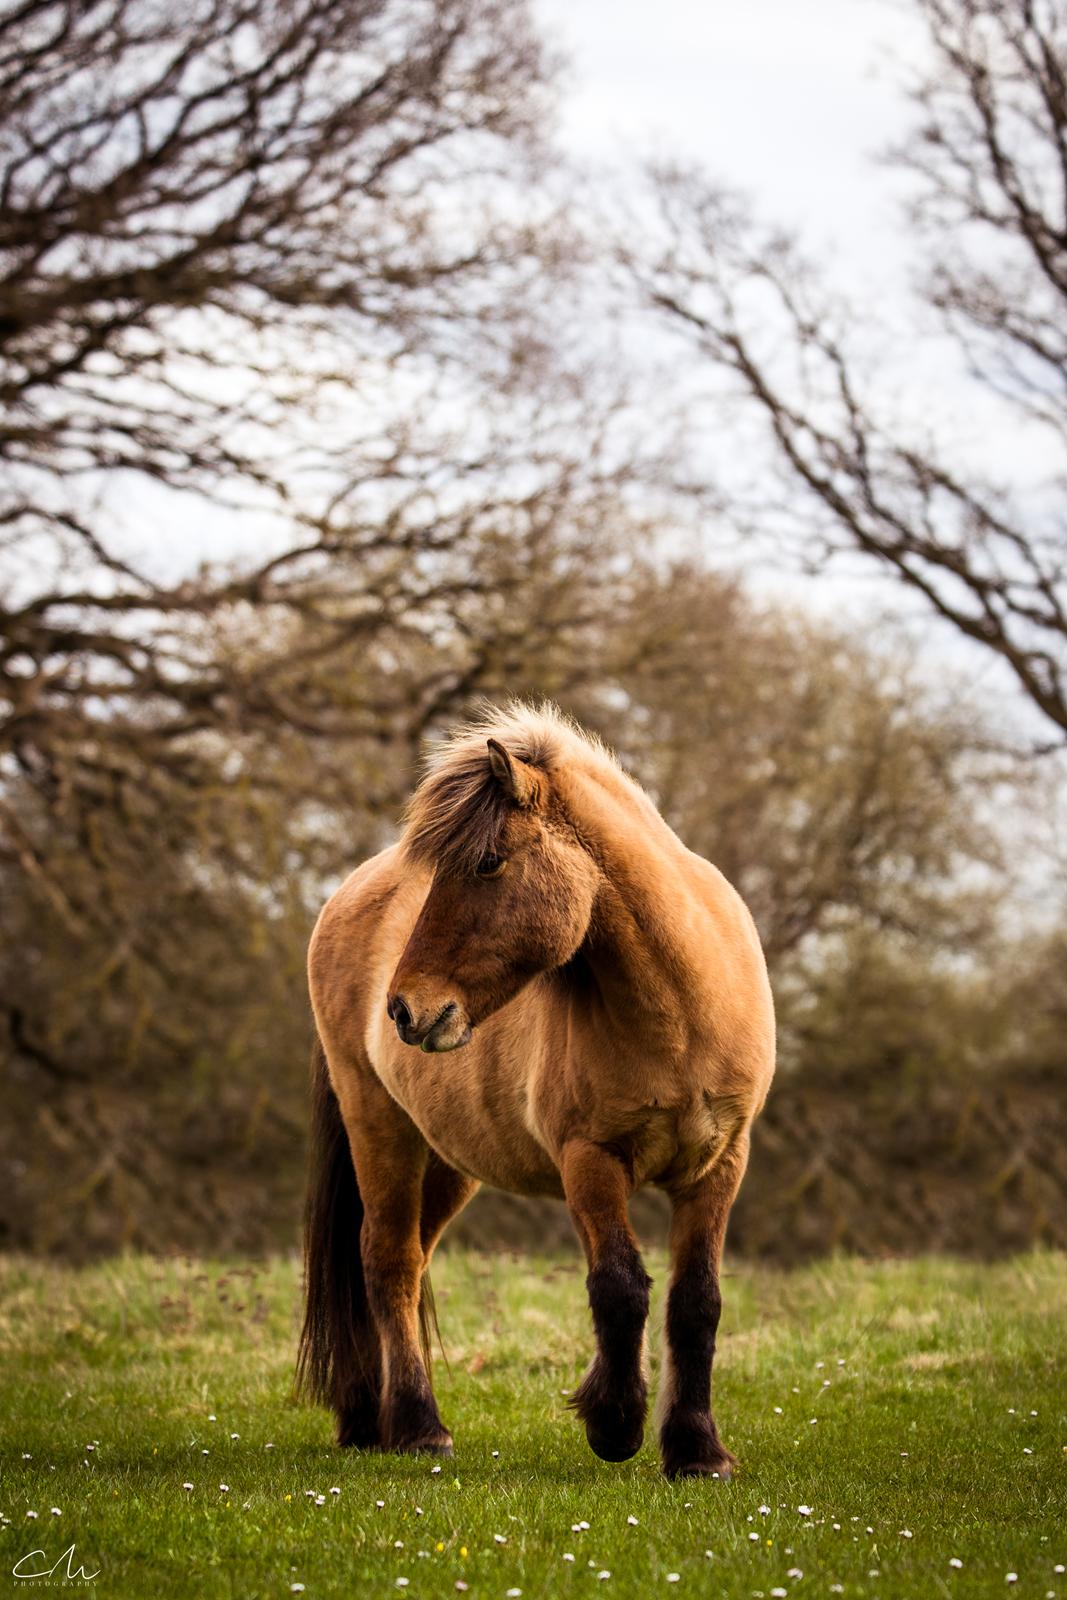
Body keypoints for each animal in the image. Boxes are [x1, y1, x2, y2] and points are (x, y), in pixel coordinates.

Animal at [299, 707, 777, 1478]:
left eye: (488, 862)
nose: (403, 1010)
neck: (680, 1013)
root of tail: (342, 899)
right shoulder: (590, 1158)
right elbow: (618, 1286)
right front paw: (614, 1425)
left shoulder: (719, 1165)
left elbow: (695, 1302)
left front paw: (697, 1451)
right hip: (379, 1126)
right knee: (389, 1260)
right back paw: (418, 1426)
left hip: (448, 1162)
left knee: (410, 1256)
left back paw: (370, 1419)